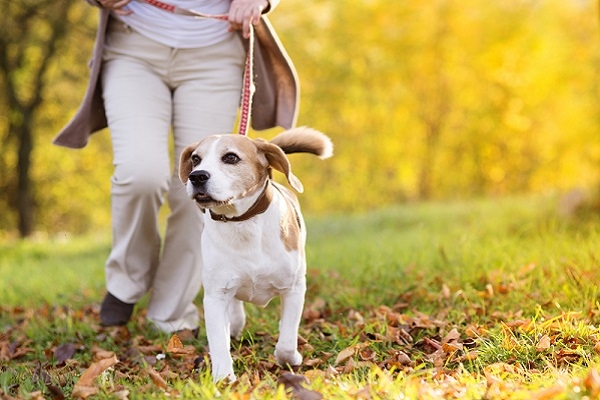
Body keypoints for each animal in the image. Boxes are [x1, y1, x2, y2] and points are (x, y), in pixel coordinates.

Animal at [178, 127, 336, 382]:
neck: (242, 223)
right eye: (195, 159)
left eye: (230, 157)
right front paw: (224, 379)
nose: (197, 176)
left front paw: (291, 359)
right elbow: (218, 341)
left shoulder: (294, 289)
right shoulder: (214, 297)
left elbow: (286, 341)